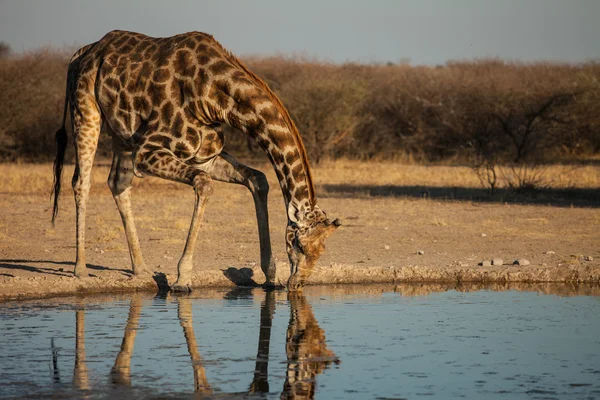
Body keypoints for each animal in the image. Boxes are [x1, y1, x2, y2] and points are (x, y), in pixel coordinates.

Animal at [50, 28, 342, 290]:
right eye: (299, 244)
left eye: (322, 249)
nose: (297, 285)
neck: (215, 96)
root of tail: (82, 53)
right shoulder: (147, 152)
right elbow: (203, 184)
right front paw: (182, 279)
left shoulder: (205, 157)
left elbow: (258, 179)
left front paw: (270, 276)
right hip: (86, 112)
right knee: (81, 182)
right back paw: (80, 268)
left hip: (121, 134)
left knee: (117, 182)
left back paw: (140, 269)